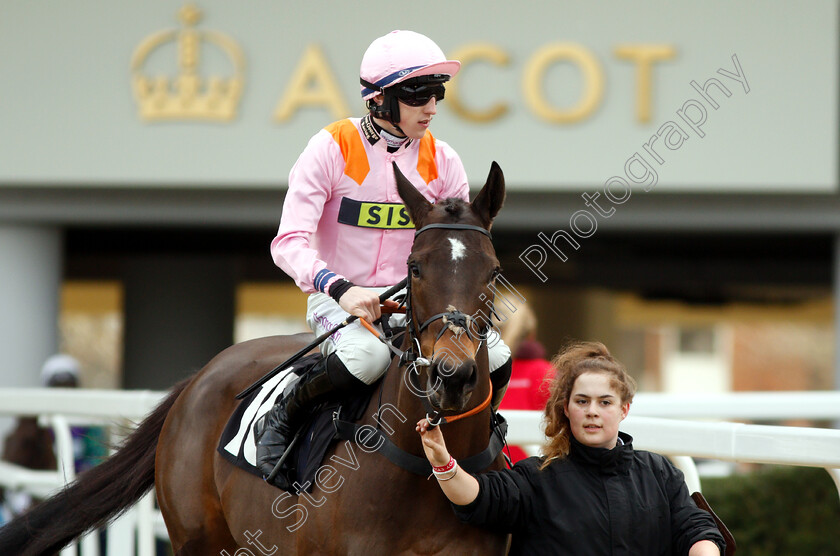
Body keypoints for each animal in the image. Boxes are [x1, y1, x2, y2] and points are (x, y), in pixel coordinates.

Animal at [0, 163, 506, 552]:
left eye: (493, 271)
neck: (420, 474)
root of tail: (199, 378)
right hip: (199, 540)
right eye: (415, 267)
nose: (452, 375)